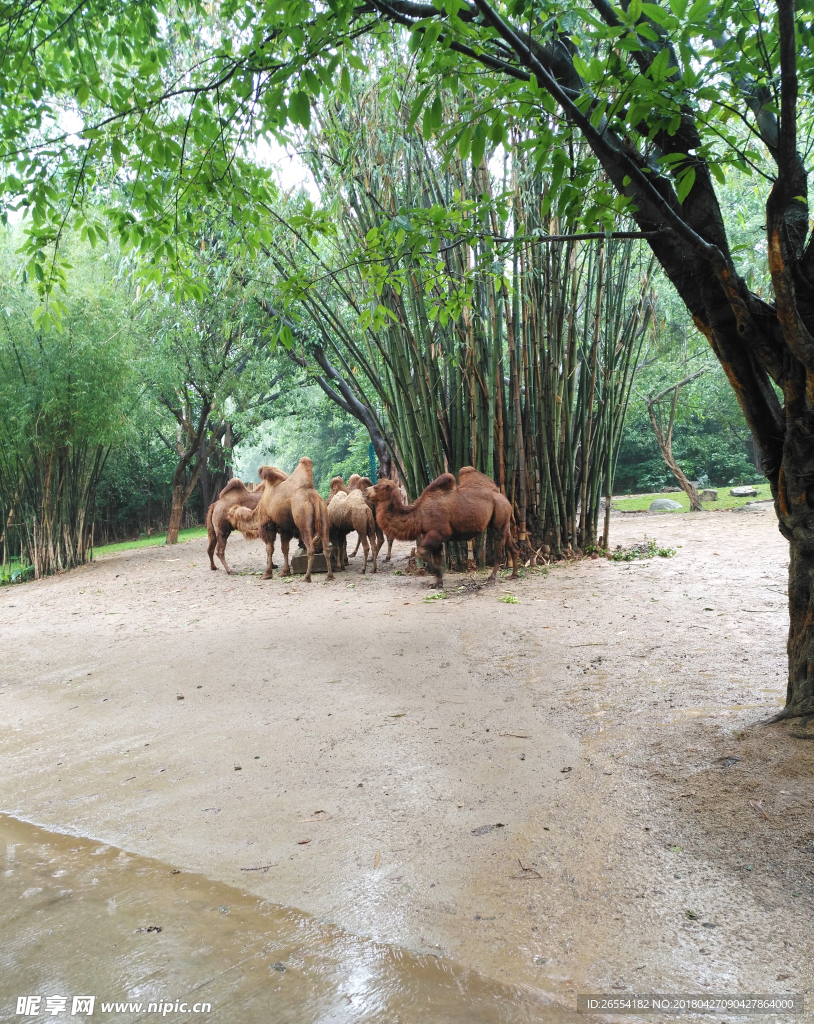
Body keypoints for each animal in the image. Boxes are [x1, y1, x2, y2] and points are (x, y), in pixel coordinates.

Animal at [366, 468, 518, 589]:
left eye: (377, 487)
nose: (365, 490)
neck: (417, 514)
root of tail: (503, 496)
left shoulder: (439, 532)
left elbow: (421, 552)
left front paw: (437, 575)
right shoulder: (432, 534)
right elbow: (438, 559)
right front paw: (437, 583)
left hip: (499, 518)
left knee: (500, 550)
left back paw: (491, 578)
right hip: (504, 521)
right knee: (513, 546)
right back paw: (514, 575)